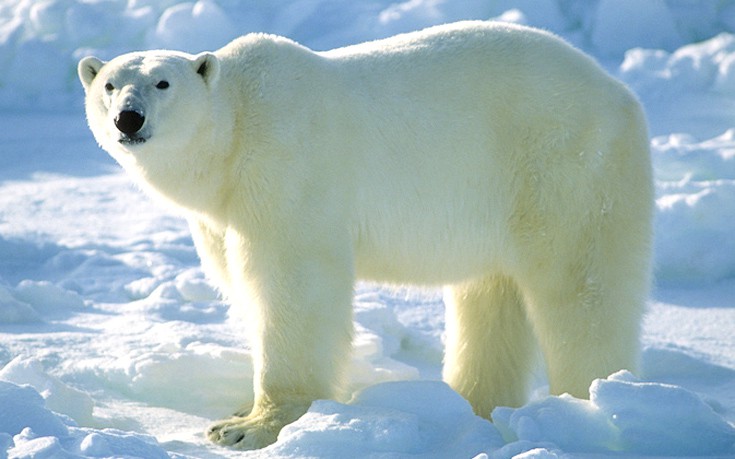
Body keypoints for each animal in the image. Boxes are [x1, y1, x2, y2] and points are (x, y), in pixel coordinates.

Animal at [80, 20, 652, 450]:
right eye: (109, 84)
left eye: (163, 83)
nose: (128, 119)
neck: (237, 127)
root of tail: (620, 93)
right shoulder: (222, 213)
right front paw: (241, 412)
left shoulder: (286, 169)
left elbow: (293, 286)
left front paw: (249, 426)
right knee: (490, 297)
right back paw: (469, 406)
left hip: (564, 168)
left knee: (581, 290)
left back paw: (588, 404)